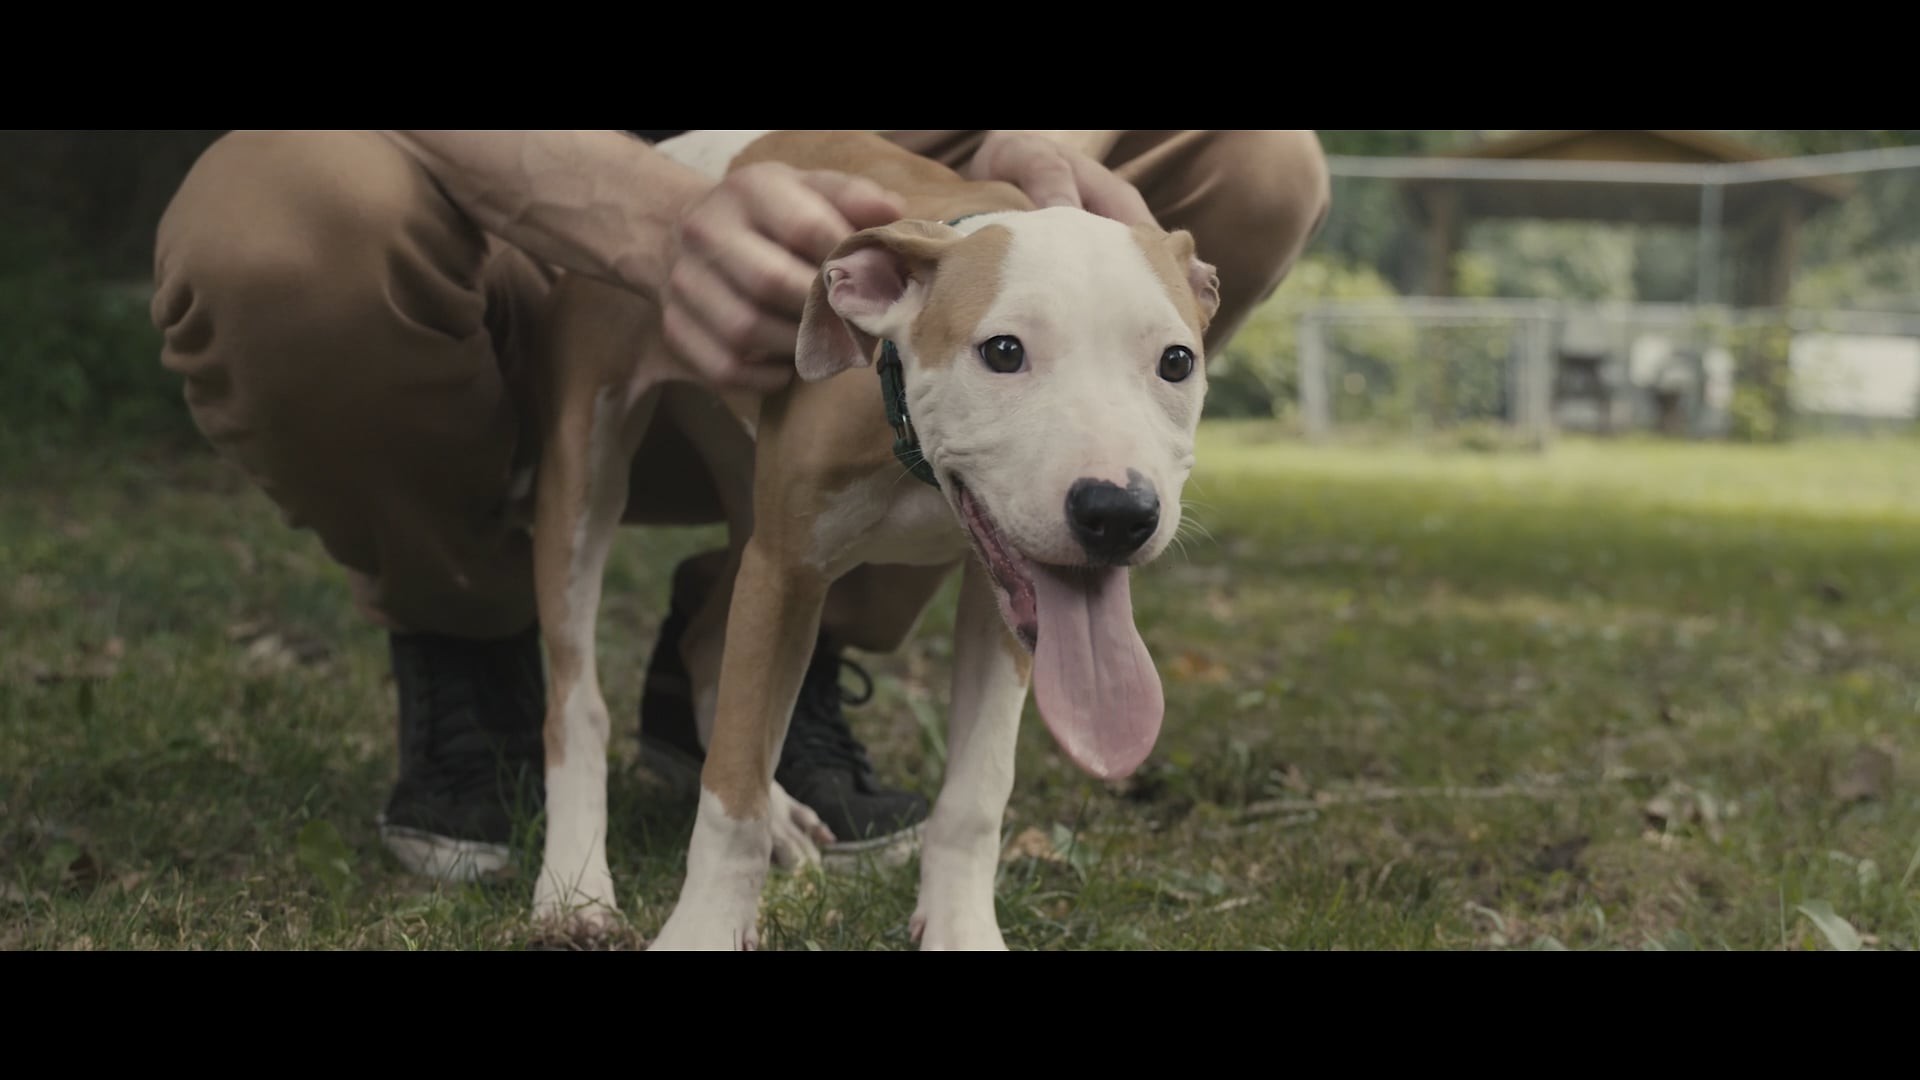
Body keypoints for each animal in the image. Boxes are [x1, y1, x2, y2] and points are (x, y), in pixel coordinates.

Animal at [526, 130, 1213, 945]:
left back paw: (785, 817)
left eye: (1177, 361)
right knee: (580, 700)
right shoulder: (787, 571)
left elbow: (976, 793)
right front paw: (704, 929)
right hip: (586, 468)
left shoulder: (998, 608)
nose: (1117, 513)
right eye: (1003, 352)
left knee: (704, 642)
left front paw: (960, 927)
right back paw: (575, 886)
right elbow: (731, 792)